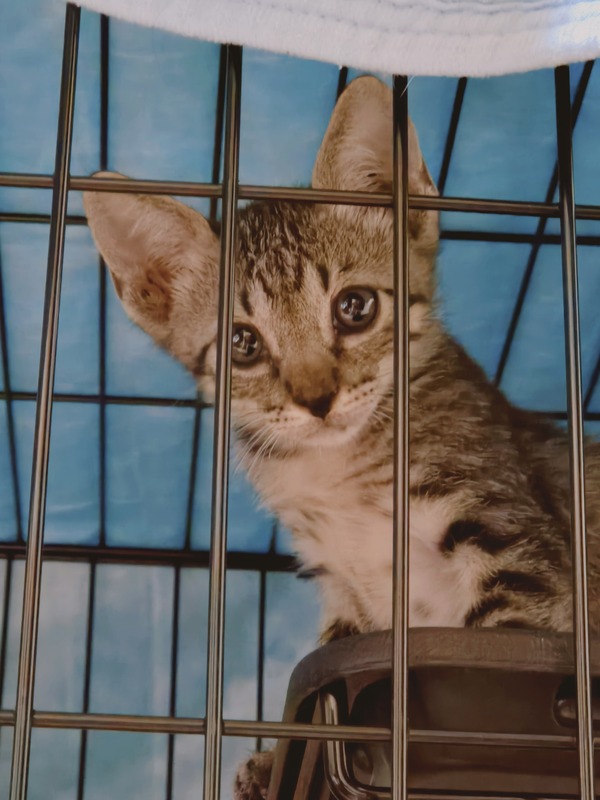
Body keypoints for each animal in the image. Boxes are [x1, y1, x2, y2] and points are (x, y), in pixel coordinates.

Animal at [83, 76, 600, 800]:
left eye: (355, 307)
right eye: (243, 343)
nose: (317, 398)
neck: (338, 472)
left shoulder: (517, 544)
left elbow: (495, 688)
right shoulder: (346, 595)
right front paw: (274, 759)